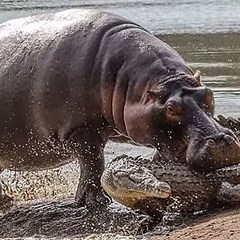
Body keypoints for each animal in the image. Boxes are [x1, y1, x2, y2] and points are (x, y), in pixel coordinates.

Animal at [0, 9, 240, 208]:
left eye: (208, 94)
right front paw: (95, 202)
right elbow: (93, 164)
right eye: (171, 108)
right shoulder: (81, 130)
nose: (222, 140)